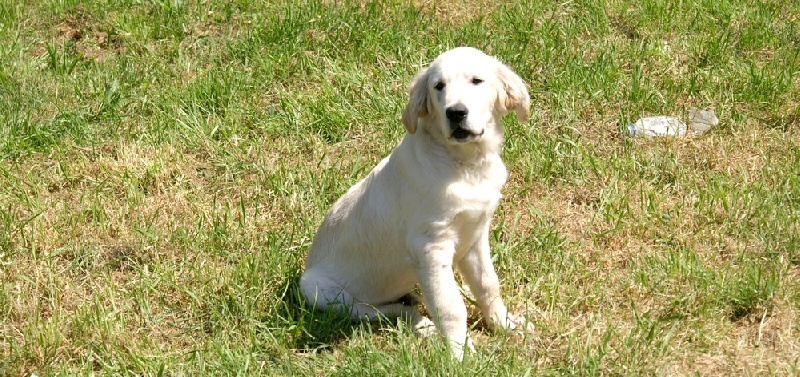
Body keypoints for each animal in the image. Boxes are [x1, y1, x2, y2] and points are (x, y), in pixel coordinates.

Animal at [300, 47, 532, 358]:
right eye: (439, 86)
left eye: (477, 81)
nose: (456, 113)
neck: (465, 164)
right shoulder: (430, 247)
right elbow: (451, 306)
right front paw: (459, 353)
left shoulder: (475, 234)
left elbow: (487, 284)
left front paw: (505, 324)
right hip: (319, 291)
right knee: (382, 312)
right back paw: (423, 325)